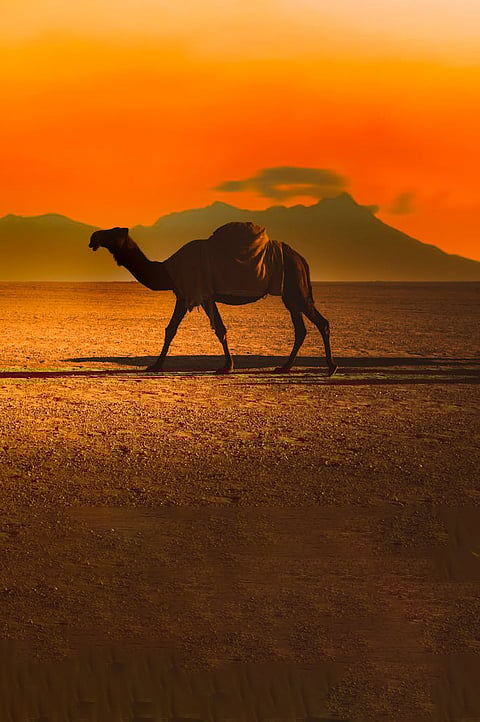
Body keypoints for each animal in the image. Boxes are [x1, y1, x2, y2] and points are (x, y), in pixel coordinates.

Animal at [89, 223, 337, 375]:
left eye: (112, 232)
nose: (93, 237)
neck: (168, 271)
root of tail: (301, 259)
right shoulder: (204, 296)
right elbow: (218, 329)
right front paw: (227, 365)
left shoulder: (189, 294)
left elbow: (174, 329)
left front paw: (156, 365)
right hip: (290, 295)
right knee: (300, 328)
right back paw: (285, 367)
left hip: (297, 289)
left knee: (321, 323)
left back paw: (331, 367)